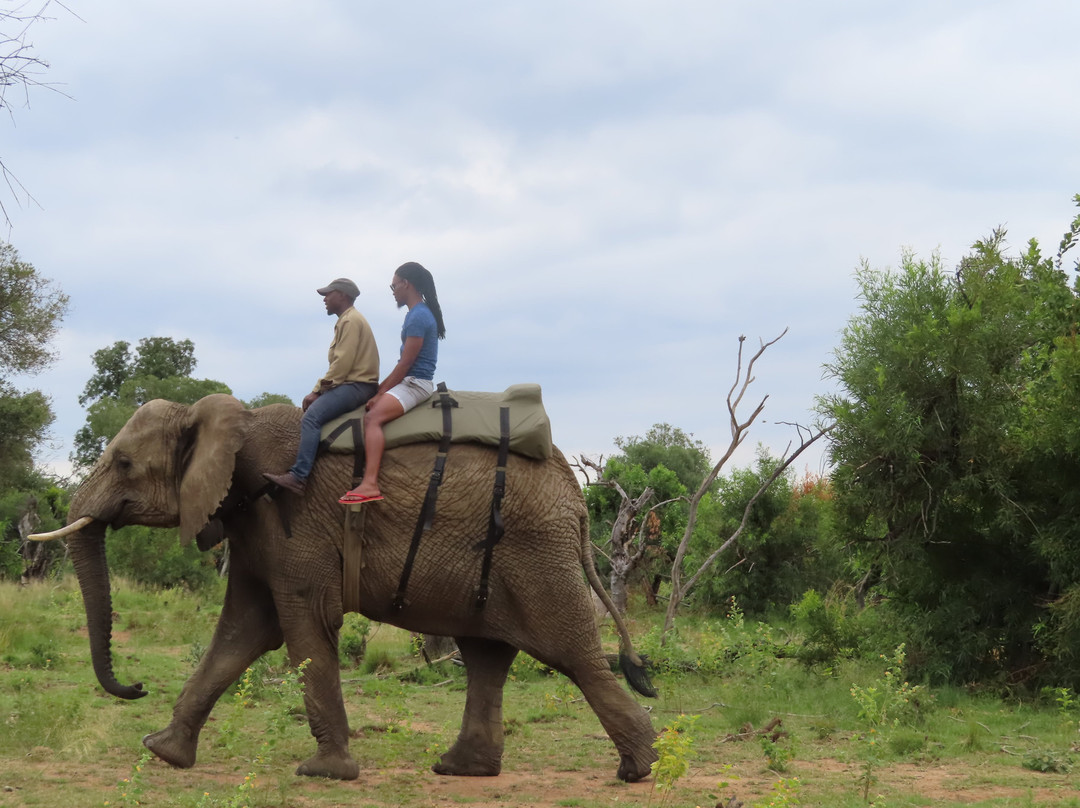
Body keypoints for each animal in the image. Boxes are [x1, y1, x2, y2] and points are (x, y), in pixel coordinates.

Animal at [35, 394, 659, 783]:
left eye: (122, 463)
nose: (136, 685)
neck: (228, 419)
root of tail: (575, 494)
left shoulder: (295, 521)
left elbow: (303, 624)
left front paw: (324, 773)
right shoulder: (254, 525)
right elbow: (242, 632)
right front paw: (162, 752)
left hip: (537, 557)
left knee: (574, 657)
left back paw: (639, 769)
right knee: (487, 655)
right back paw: (460, 769)